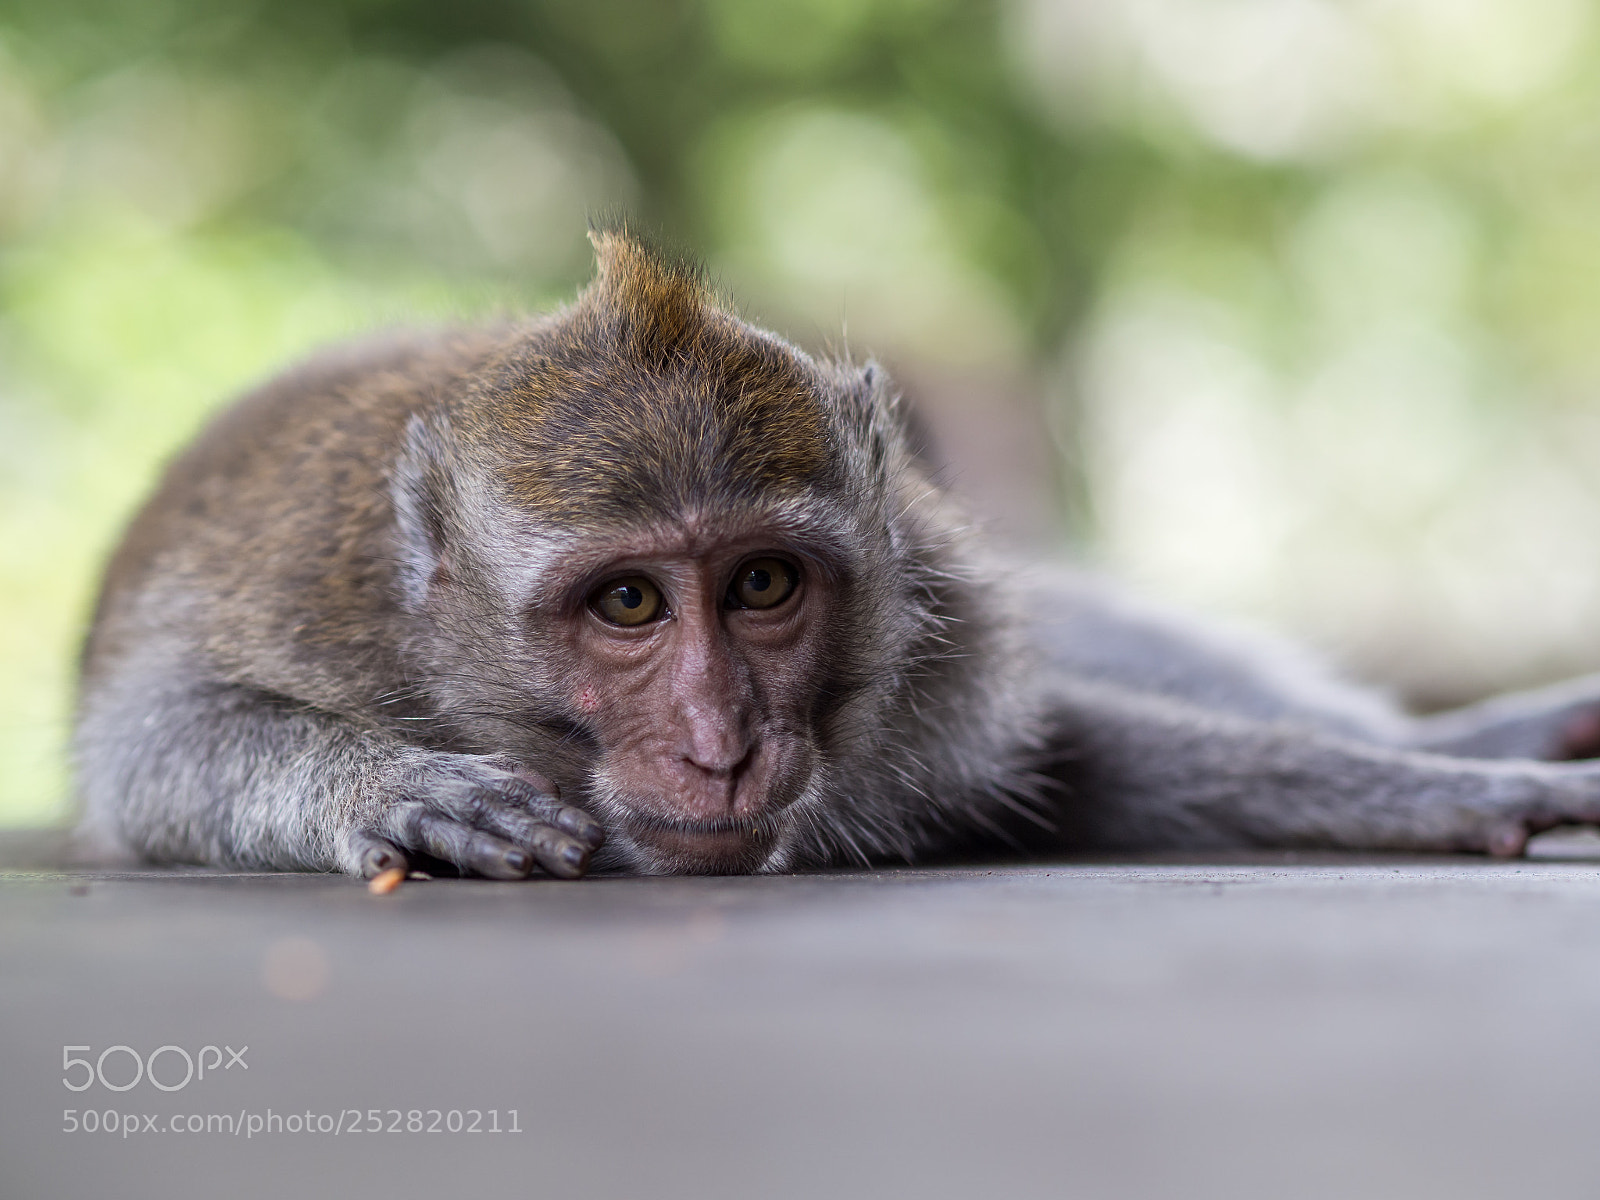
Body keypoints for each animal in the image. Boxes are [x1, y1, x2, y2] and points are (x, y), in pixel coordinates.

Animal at [71, 229, 1600, 881]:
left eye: (761, 585)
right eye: (627, 602)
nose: (720, 744)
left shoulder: (944, 654)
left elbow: (1070, 753)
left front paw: (1447, 790)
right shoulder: (307, 609)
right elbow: (149, 748)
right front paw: (390, 788)